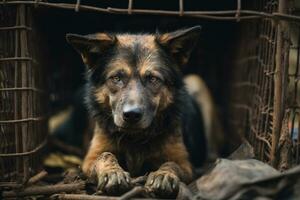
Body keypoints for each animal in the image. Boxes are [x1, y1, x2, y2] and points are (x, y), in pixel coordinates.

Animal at [66, 26, 210, 197]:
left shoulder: (186, 165)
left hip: (196, 81)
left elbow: (171, 163)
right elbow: (105, 155)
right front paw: (112, 172)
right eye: (116, 78)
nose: (131, 115)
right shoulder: (90, 159)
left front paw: (164, 175)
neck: (135, 138)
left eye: (153, 79)